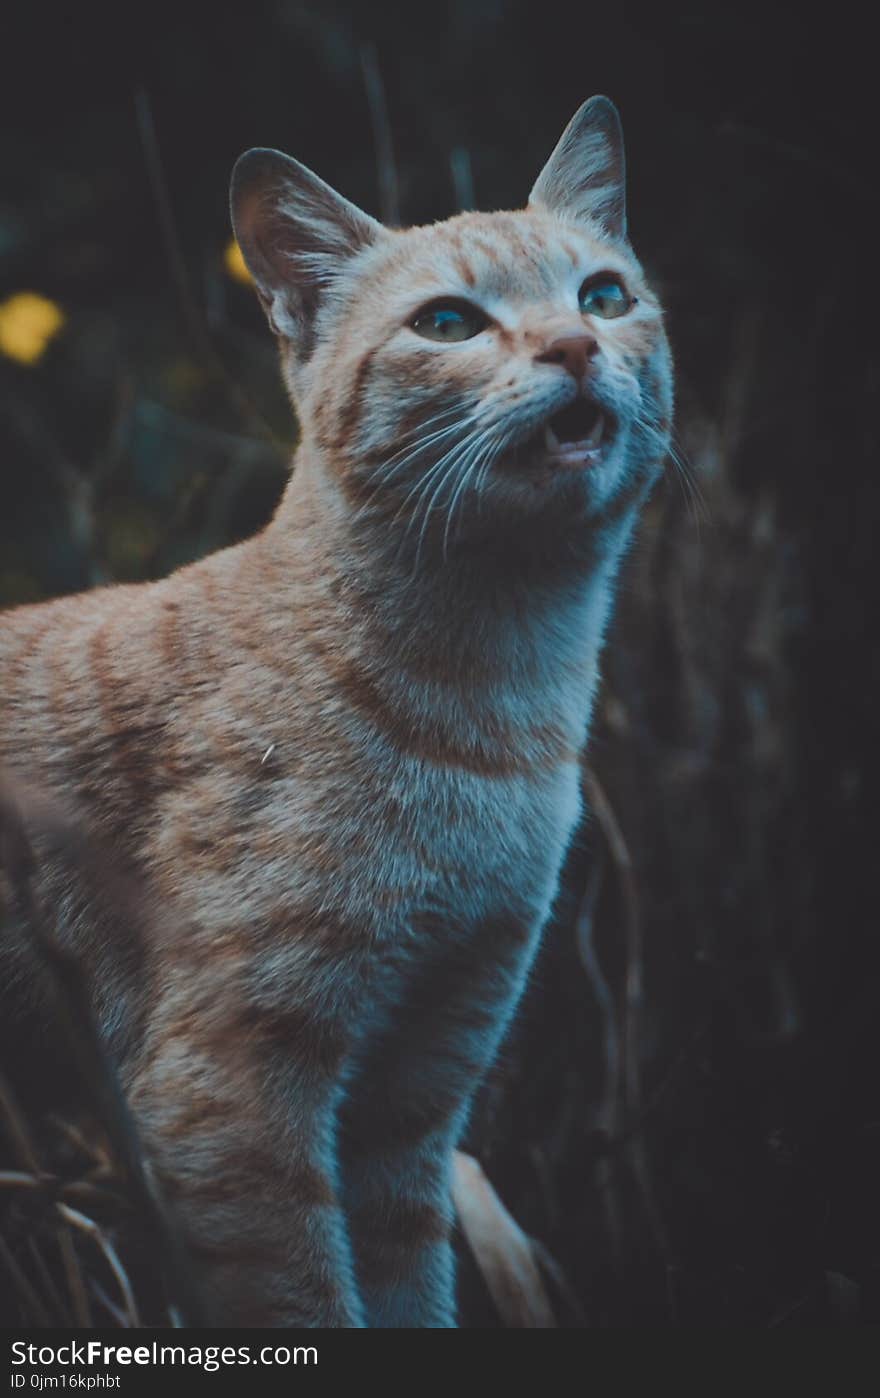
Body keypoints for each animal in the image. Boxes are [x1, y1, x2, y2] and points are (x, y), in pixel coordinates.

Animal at [1, 95, 671, 1319]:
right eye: (449, 322)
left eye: (603, 295)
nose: (573, 346)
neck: (493, 705)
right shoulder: (229, 1094)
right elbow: (306, 1299)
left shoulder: (418, 1096)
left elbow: (408, 1291)